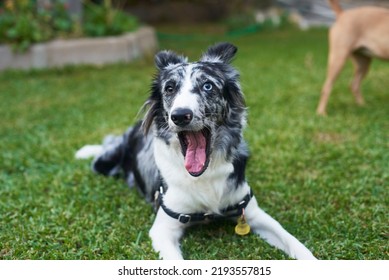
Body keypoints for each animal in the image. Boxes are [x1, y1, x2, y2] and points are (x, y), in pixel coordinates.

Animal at [76, 42, 316, 260]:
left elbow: (293, 242)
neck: (205, 176)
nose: (180, 115)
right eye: (170, 88)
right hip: (104, 163)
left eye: (208, 86)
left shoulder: (252, 212)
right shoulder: (163, 228)